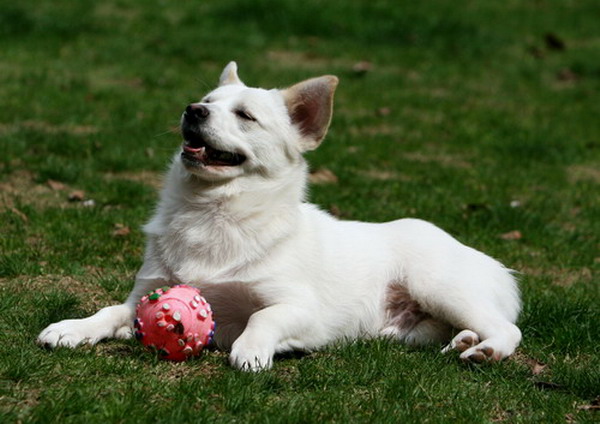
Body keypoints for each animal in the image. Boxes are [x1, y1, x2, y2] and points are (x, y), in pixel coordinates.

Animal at [37, 62, 520, 372]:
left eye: (245, 116)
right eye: (207, 101)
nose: (192, 109)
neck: (211, 214)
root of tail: (493, 263)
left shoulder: (301, 308)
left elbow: (262, 318)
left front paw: (250, 350)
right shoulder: (141, 300)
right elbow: (107, 312)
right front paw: (73, 328)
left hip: (436, 285)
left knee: (508, 328)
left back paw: (485, 351)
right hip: (408, 328)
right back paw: (465, 340)